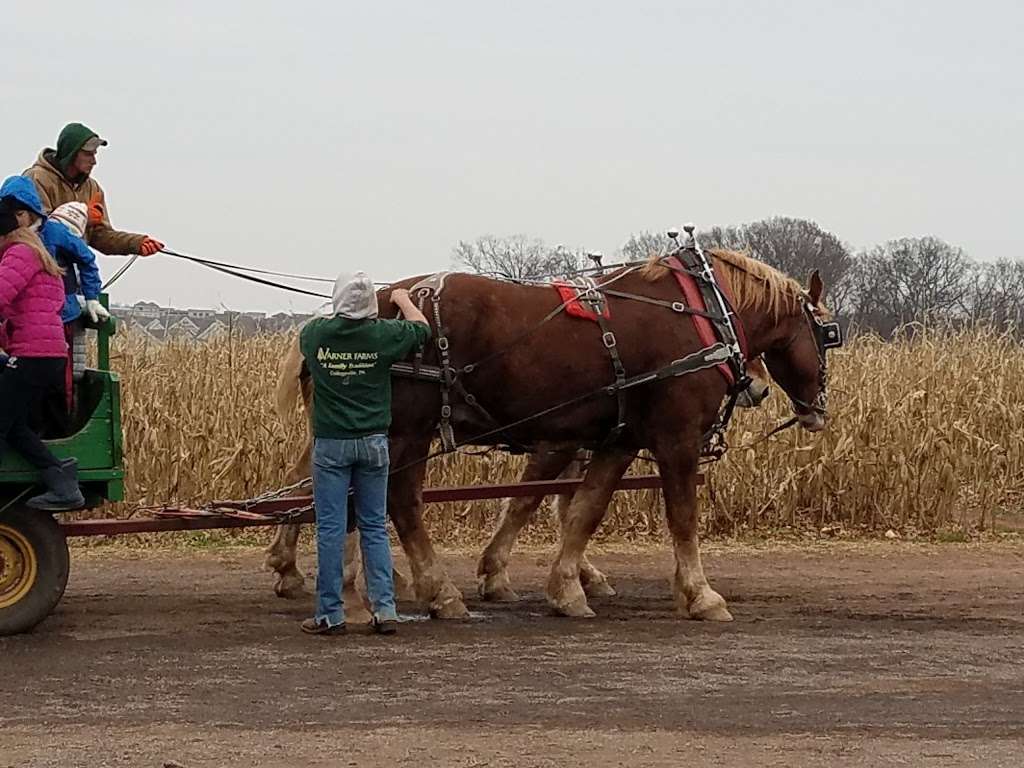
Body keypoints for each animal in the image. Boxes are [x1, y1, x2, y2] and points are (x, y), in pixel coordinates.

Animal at [270, 249, 831, 622]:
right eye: (829, 334)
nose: (761, 388)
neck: (704, 315)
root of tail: (374, 303)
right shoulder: (676, 437)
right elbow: (681, 517)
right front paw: (699, 594)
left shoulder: (615, 440)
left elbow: (584, 509)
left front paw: (567, 587)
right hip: (407, 429)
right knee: (396, 501)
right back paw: (431, 590)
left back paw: (351, 588)